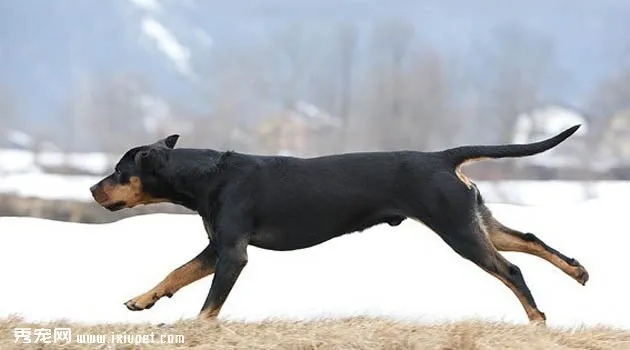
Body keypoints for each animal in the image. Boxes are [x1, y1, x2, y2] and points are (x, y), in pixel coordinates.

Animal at [90, 124, 592, 324]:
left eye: (118, 170)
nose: (93, 189)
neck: (206, 175)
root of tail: (443, 158)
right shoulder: (217, 249)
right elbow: (177, 273)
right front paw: (141, 300)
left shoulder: (232, 254)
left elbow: (209, 304)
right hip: (475, 219)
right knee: (530, 240)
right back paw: (578, 271)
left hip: (459, 230)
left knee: (512, 270)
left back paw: (537, 320)